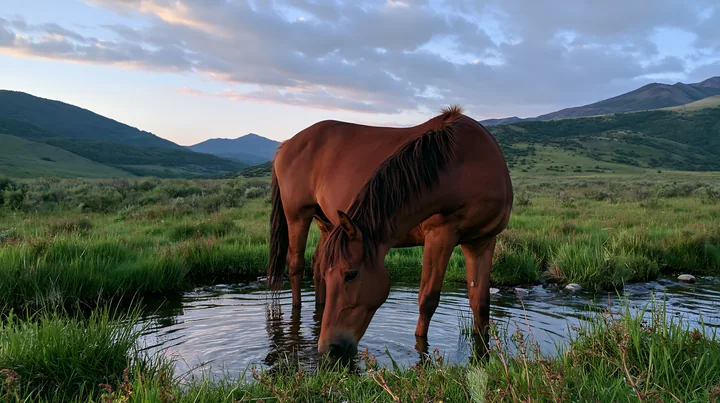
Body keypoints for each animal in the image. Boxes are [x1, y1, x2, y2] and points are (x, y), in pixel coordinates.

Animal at [314, 106, 513, 360]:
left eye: (351, 274)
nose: (328, 350)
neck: (470, 167)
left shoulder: (482, 242)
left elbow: (478, 303)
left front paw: (481, 355)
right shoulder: (439, 235)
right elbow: (427, 299)